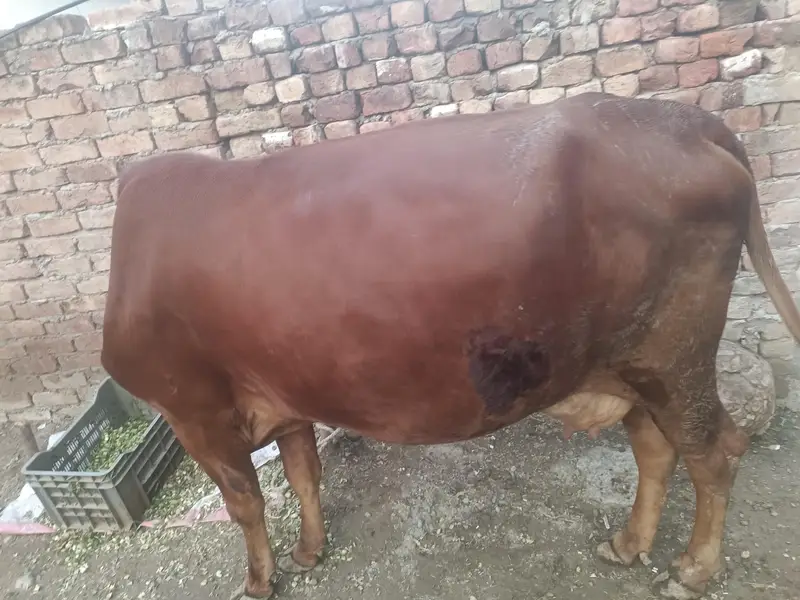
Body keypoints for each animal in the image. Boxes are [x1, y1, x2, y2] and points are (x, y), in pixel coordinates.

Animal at [101, 92, 800, 600]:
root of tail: (681, 116)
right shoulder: (282, 392)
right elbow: (303, 475)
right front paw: (308, 551)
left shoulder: (194, 411)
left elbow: (245, 503)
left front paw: (258, 581)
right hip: (631, 367)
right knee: (657, 450)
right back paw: (628, 546)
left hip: (673, 359)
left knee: (716, 454)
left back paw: (693, 571)